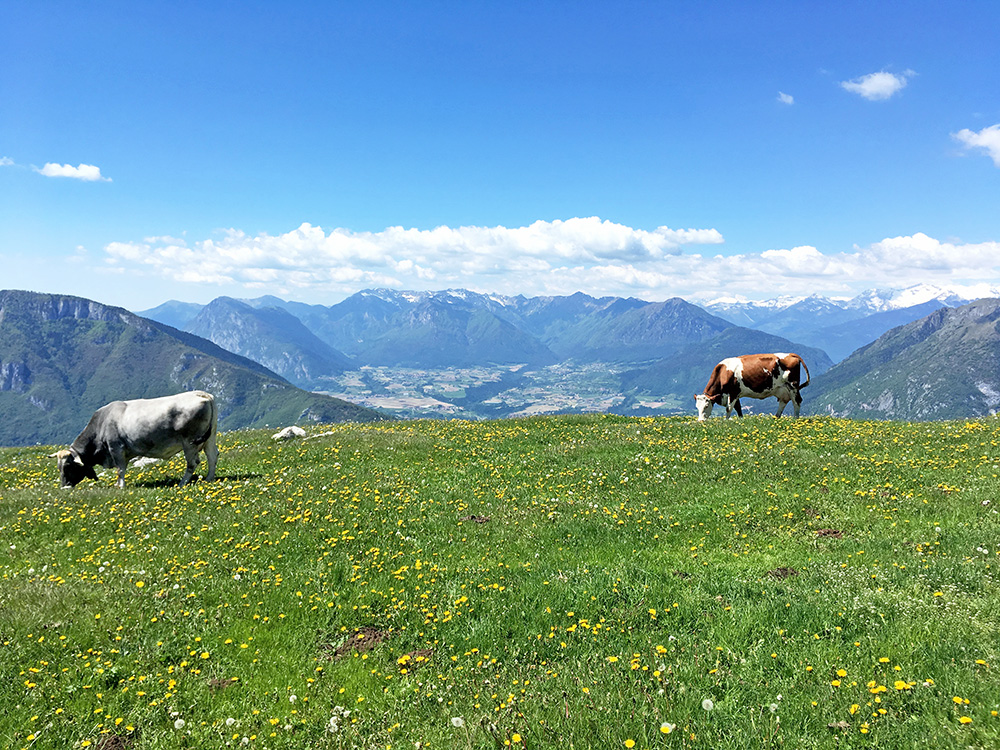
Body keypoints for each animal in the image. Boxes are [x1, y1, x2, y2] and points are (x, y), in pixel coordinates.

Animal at [52, 390, 219, 490]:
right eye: (58, 467)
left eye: (68, 466)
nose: (64, 487)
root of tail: (202, 394)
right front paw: (118, 484)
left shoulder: (116, 448)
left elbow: (120, 469)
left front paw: (121, 487)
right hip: (210, 438)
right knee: (212, 456)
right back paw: (209, 479)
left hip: (189, 442)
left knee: (192, 463)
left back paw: (182, 483)